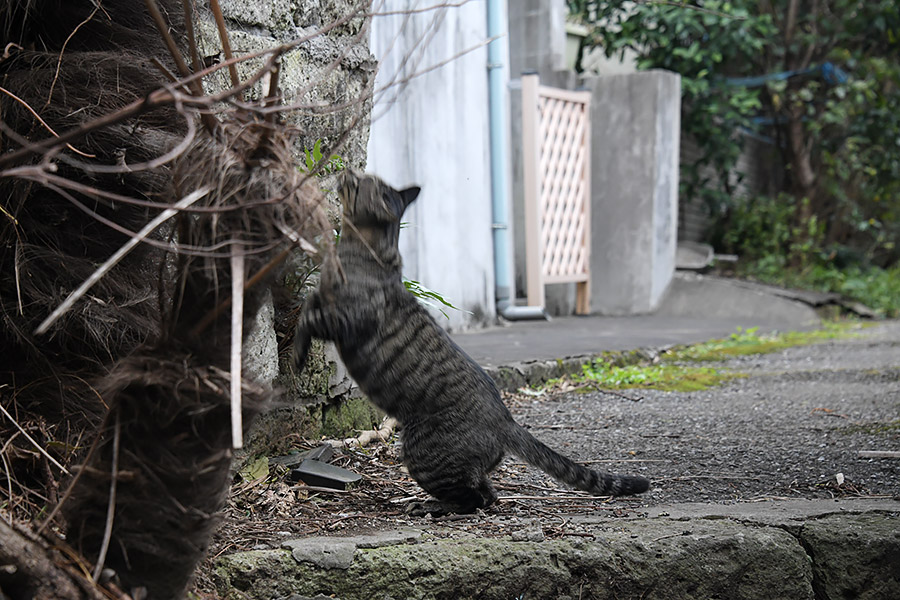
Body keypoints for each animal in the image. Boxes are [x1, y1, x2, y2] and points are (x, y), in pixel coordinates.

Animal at [292, 170, 652, 516]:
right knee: (488, 493)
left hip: (422, 453)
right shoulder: (323, 302)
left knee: (476, 498)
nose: (347, 171)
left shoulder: (346, 321)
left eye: (361, 180)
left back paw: (428, 507)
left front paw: (296, 357)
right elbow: (308, 301)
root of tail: (506, 421)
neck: (357, 250)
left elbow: (305, 320)